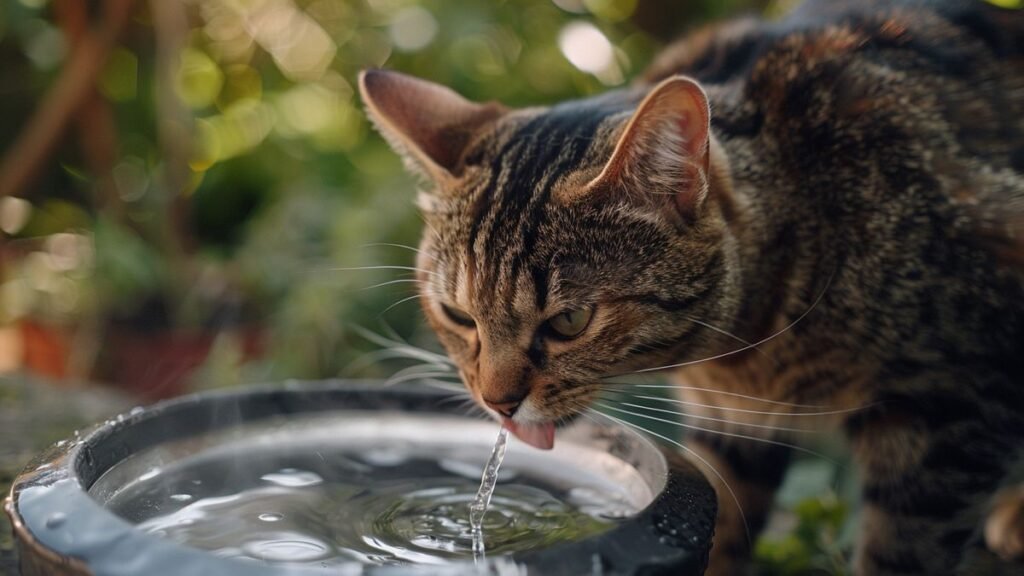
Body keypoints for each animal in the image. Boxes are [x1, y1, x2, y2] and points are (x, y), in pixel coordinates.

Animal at [358, 0, 1024, 569]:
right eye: (459, 316)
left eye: (569, 321)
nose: (498, 404)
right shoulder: (730, 428)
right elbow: (722, 528)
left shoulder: (950, 410)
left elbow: (897, 552)